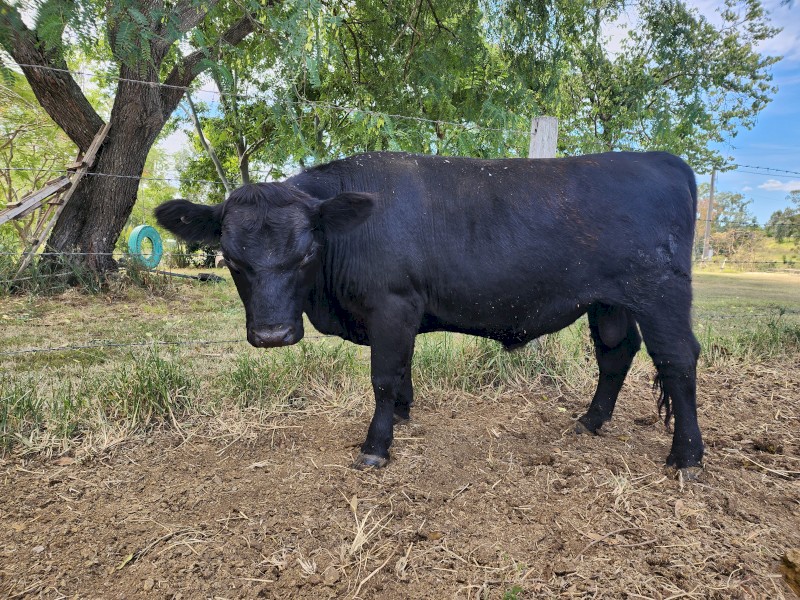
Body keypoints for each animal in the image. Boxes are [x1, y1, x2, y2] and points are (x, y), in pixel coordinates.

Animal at [155, 151, 704, 477]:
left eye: (308, 251)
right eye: (231, 259)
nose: (272, 333)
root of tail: (660, 158)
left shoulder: (392, 305)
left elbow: (382, 376)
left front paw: (376, 446)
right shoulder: (402, 315)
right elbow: (401, 373)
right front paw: (403, 414)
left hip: (660, 294)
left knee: (677, 361)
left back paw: (686, 456)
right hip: (610, 301)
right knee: (616, 353)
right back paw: (589, 422)